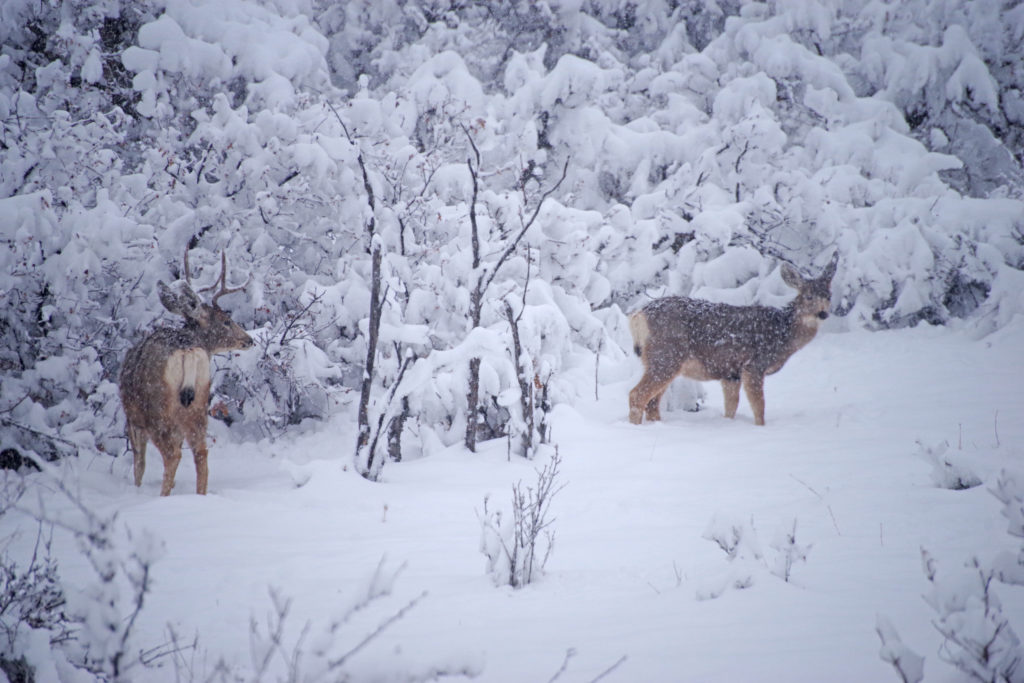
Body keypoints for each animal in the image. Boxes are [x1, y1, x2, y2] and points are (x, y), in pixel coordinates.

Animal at [120, 250, 253, 497]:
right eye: (226, 321)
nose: (249, 339)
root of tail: (188, 351)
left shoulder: (133, 418)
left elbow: (139, 464)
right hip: (199, 405)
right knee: (201, 452)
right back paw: (199, 496)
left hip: (157, 410)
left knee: (172, 455)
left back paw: (163, 498)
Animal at [626, 254, 835, 428]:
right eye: (808, 296)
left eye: (828, 296)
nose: (823, 313)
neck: (782, 333)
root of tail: (638, 315)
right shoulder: (754, 365)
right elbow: (759, 407)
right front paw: (761, 428)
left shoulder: (731, 374)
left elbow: (731, 408)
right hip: (666, 356)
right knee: (637, 396)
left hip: (661, 361)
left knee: (653, 402)